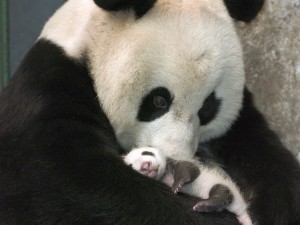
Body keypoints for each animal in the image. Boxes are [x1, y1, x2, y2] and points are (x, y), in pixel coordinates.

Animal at [0, 0, 300, 224]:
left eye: (208, 107)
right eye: (158, 101)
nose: (176, 157)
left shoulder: (241, 122)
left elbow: (268, 161)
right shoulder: (48, 89)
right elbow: (70, 184)